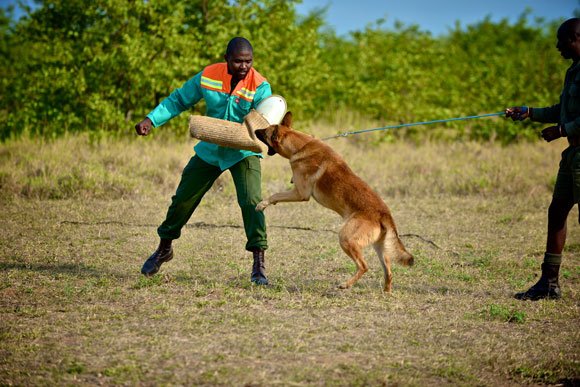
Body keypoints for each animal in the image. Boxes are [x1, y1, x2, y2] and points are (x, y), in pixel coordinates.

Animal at [254, 110, 412, 292]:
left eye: (264, 131)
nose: (255, 130)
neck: (300, 146)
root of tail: (384, 214)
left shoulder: (300, 194)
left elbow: (275, 195)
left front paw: (262, 204)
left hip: (345, 238)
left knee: (364, 266)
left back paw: (345, 284)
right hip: (379, 247)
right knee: (388, 271)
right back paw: (386, 292)